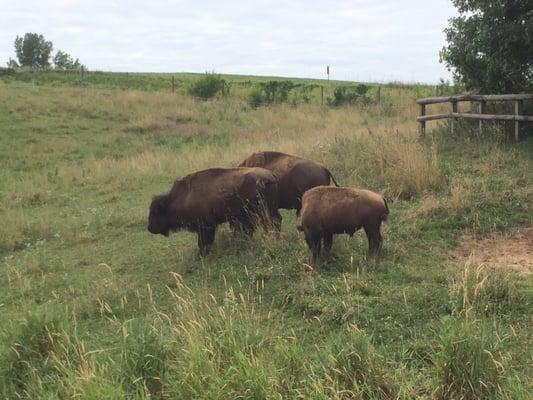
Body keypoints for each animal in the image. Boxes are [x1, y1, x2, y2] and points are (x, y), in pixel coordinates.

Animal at [145, 167, 278, 255]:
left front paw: (202, 254)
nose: (150, 228)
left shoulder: (205, 227)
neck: (183, 196)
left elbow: (203, 242)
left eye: (155, 212)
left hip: (263, 211)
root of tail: (270, 176)